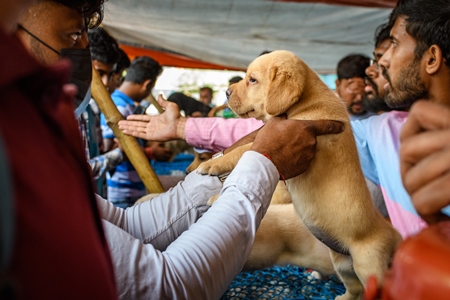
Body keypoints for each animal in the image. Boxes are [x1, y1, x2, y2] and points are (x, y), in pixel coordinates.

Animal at [199, 50, 402, 298]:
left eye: (252, 80)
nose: (226, 92)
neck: (305, 104)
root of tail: (393, 233)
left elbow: (244, 150)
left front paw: (212, 165)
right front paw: (215, 194)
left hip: (368, 264)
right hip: (343, 263)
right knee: (354, 289)